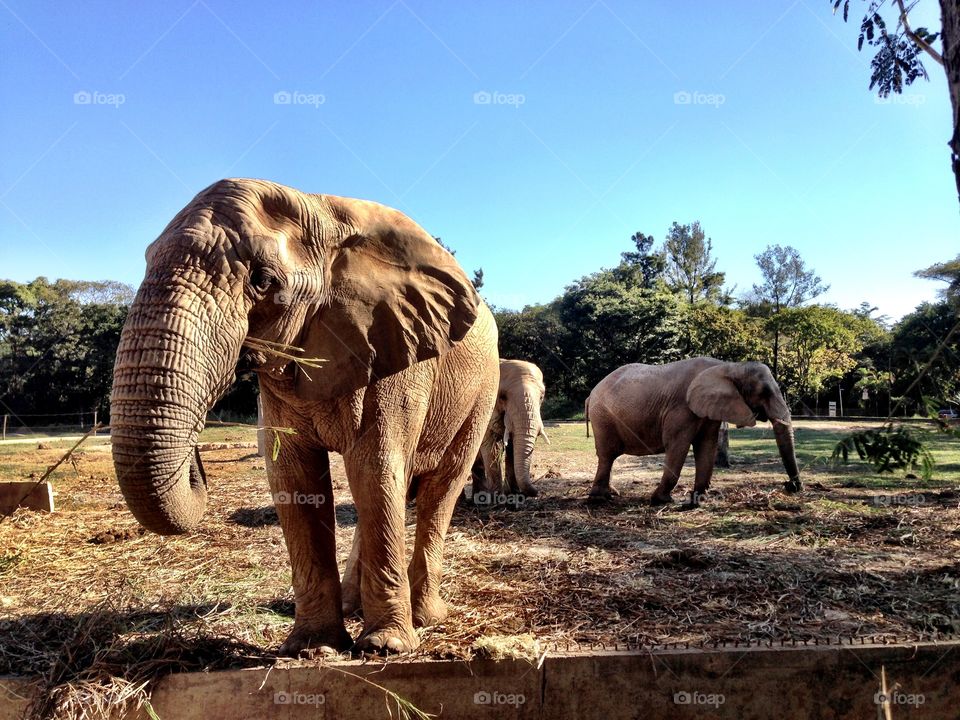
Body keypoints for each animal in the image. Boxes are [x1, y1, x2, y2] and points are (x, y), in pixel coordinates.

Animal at [110, 178, 499, 655]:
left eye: (262, 281)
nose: (196, 461)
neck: (324, 211)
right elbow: (295, 478)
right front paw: (312, 648)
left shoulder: (398, 355)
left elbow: (374, 468)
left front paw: (384, 648)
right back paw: (357, 608)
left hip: (481, 393)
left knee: (437, 489)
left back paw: (425, 618)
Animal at [470, 359, 548, 501]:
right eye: (502, 396)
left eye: (541, 397)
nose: (537, 492)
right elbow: (491, 447)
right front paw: (498, 499)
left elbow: (513, 447)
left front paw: (513, 495)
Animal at [585, 357, 801, 506]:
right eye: (764, 392)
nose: (790, 486)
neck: (729, 366)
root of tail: (591, 393)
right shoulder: (681, 409)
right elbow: (678, 446)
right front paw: (662, 500)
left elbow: (706, 446)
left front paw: (697, 500)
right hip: (602, 417)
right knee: (607, 454)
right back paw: (600, 498)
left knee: (610, 456)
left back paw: (612, 493)